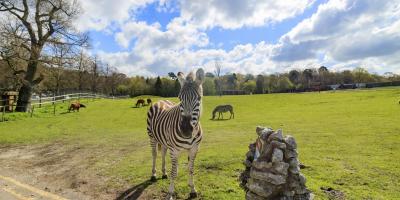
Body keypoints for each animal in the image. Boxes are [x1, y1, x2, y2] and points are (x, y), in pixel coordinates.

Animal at [145, 68, 205, 198]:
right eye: (180, 98)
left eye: (199, 99)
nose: (185, 130)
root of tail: (161, 100)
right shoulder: (174, 150)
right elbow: (174, 172)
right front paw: (170, 193)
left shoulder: (194, 149)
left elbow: (190, 169)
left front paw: (192, 190)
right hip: (152, 137)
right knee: (154, 154)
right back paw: (154, 175)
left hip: (164, 140)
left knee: (162, 153)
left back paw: (164, 173)